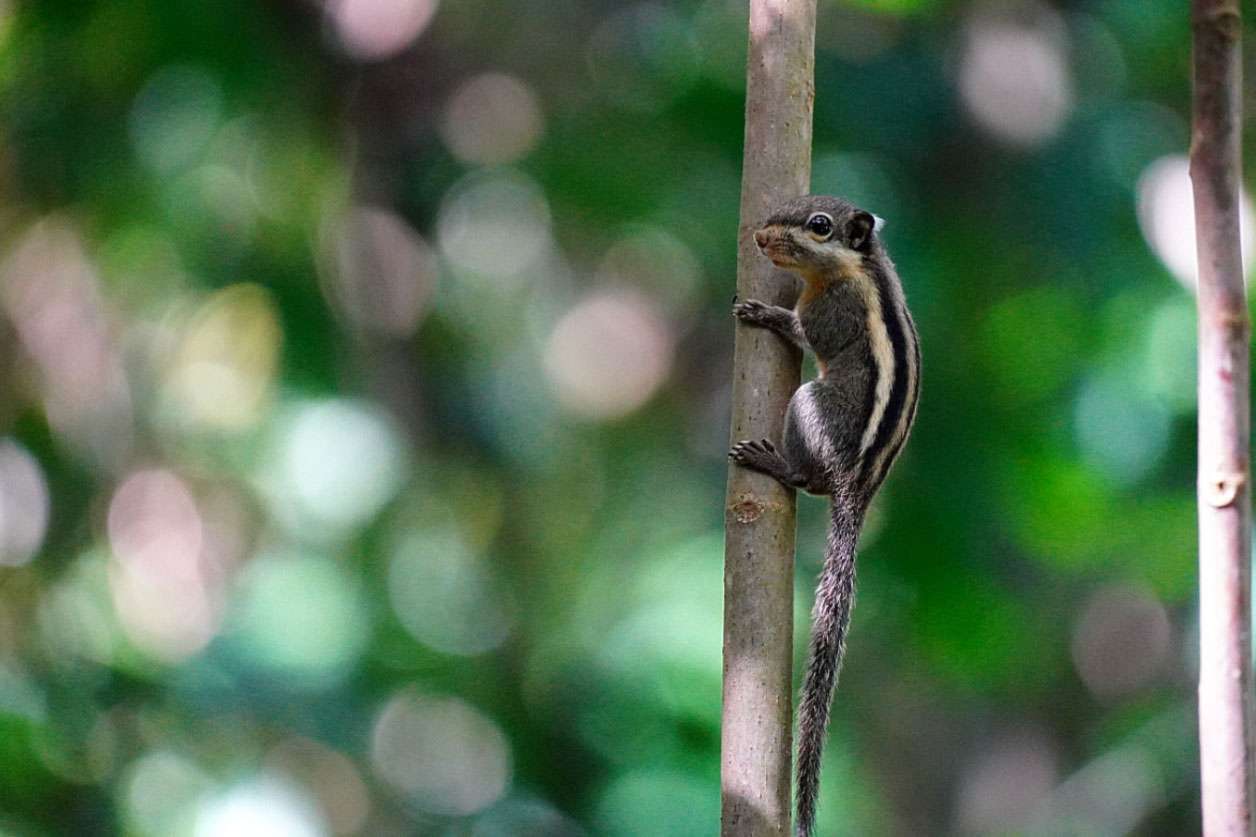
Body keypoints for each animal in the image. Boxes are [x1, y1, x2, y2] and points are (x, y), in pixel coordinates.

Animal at [729, 195, 920, 837]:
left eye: (819, 226)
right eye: (784, 206)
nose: (761, 238)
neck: (860, 268)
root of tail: (856, 490)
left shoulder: (833, 313)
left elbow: (805, 330)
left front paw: (763, 311)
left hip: (809, 408)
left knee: (808, 479)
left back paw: (774, 464)